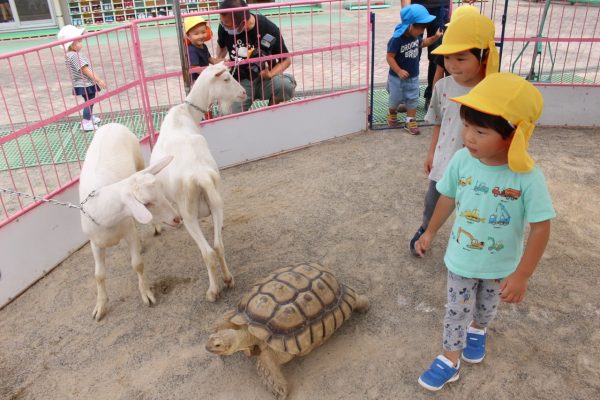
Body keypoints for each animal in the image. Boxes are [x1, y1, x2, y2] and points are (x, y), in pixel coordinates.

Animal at [81, 123, 182, 320]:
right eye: (146, 203)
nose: (177, 218)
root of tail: (112, 124)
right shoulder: (95, 243)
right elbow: (99, 275)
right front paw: (100, 306)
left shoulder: (129, 233)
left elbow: (137, 263)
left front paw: (146, 294)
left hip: (139, 160)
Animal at [150, 61, 246, 300]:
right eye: (226, 79)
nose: (243, 92)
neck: (185, 114)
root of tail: (200, 176)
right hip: (216, 202)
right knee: (219, 246)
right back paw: (228, 279)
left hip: (189, 215)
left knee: (208, 252)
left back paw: (213, 290)